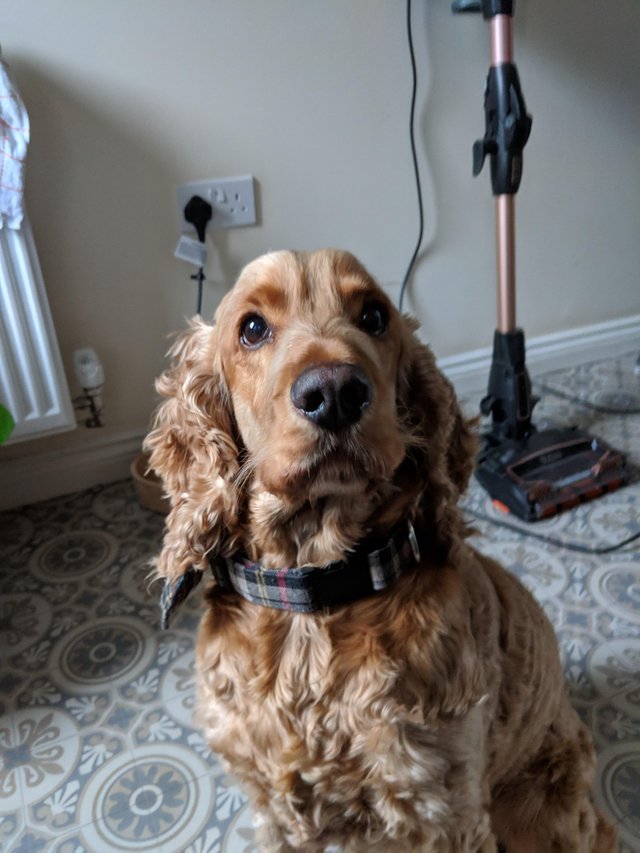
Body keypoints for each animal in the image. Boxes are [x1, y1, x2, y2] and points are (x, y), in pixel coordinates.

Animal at [144, 250, 616, 848]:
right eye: (251, 328)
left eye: (373, 316)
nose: (334, 392)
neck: (312, 596)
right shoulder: (273, 805)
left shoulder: (443, 807)